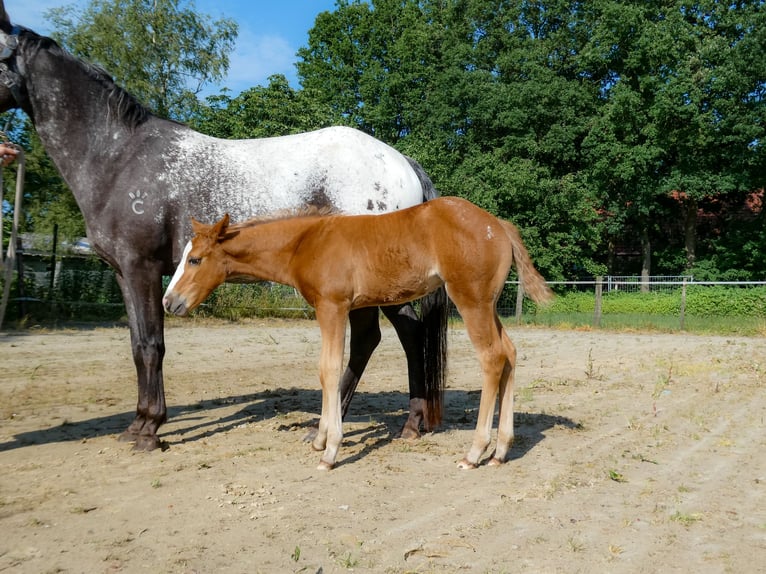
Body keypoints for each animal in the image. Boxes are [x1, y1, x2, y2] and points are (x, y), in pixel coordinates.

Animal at [0, 6, 448, 450]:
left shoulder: (141, 268)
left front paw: (150, 429)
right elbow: (137, 344)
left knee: (391, 336)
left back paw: (388, 425)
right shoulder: (125, 274)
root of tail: (403, 163)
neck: (120, 157)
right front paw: (139, 423)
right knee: (386, 337)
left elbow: (151, 345)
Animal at [163, 197, 553, 469]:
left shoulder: (332, 307)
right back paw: (500, 450)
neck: (306, 241)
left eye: (195, 259)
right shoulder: (340, 309)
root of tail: (498, 225)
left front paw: (330, 450)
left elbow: (329, 369)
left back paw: (475, 452)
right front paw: (321, 439)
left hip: (471, 299)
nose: (169, 302)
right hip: (488, 304)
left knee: (492, 357)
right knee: (510, 353)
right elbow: (328, 371)